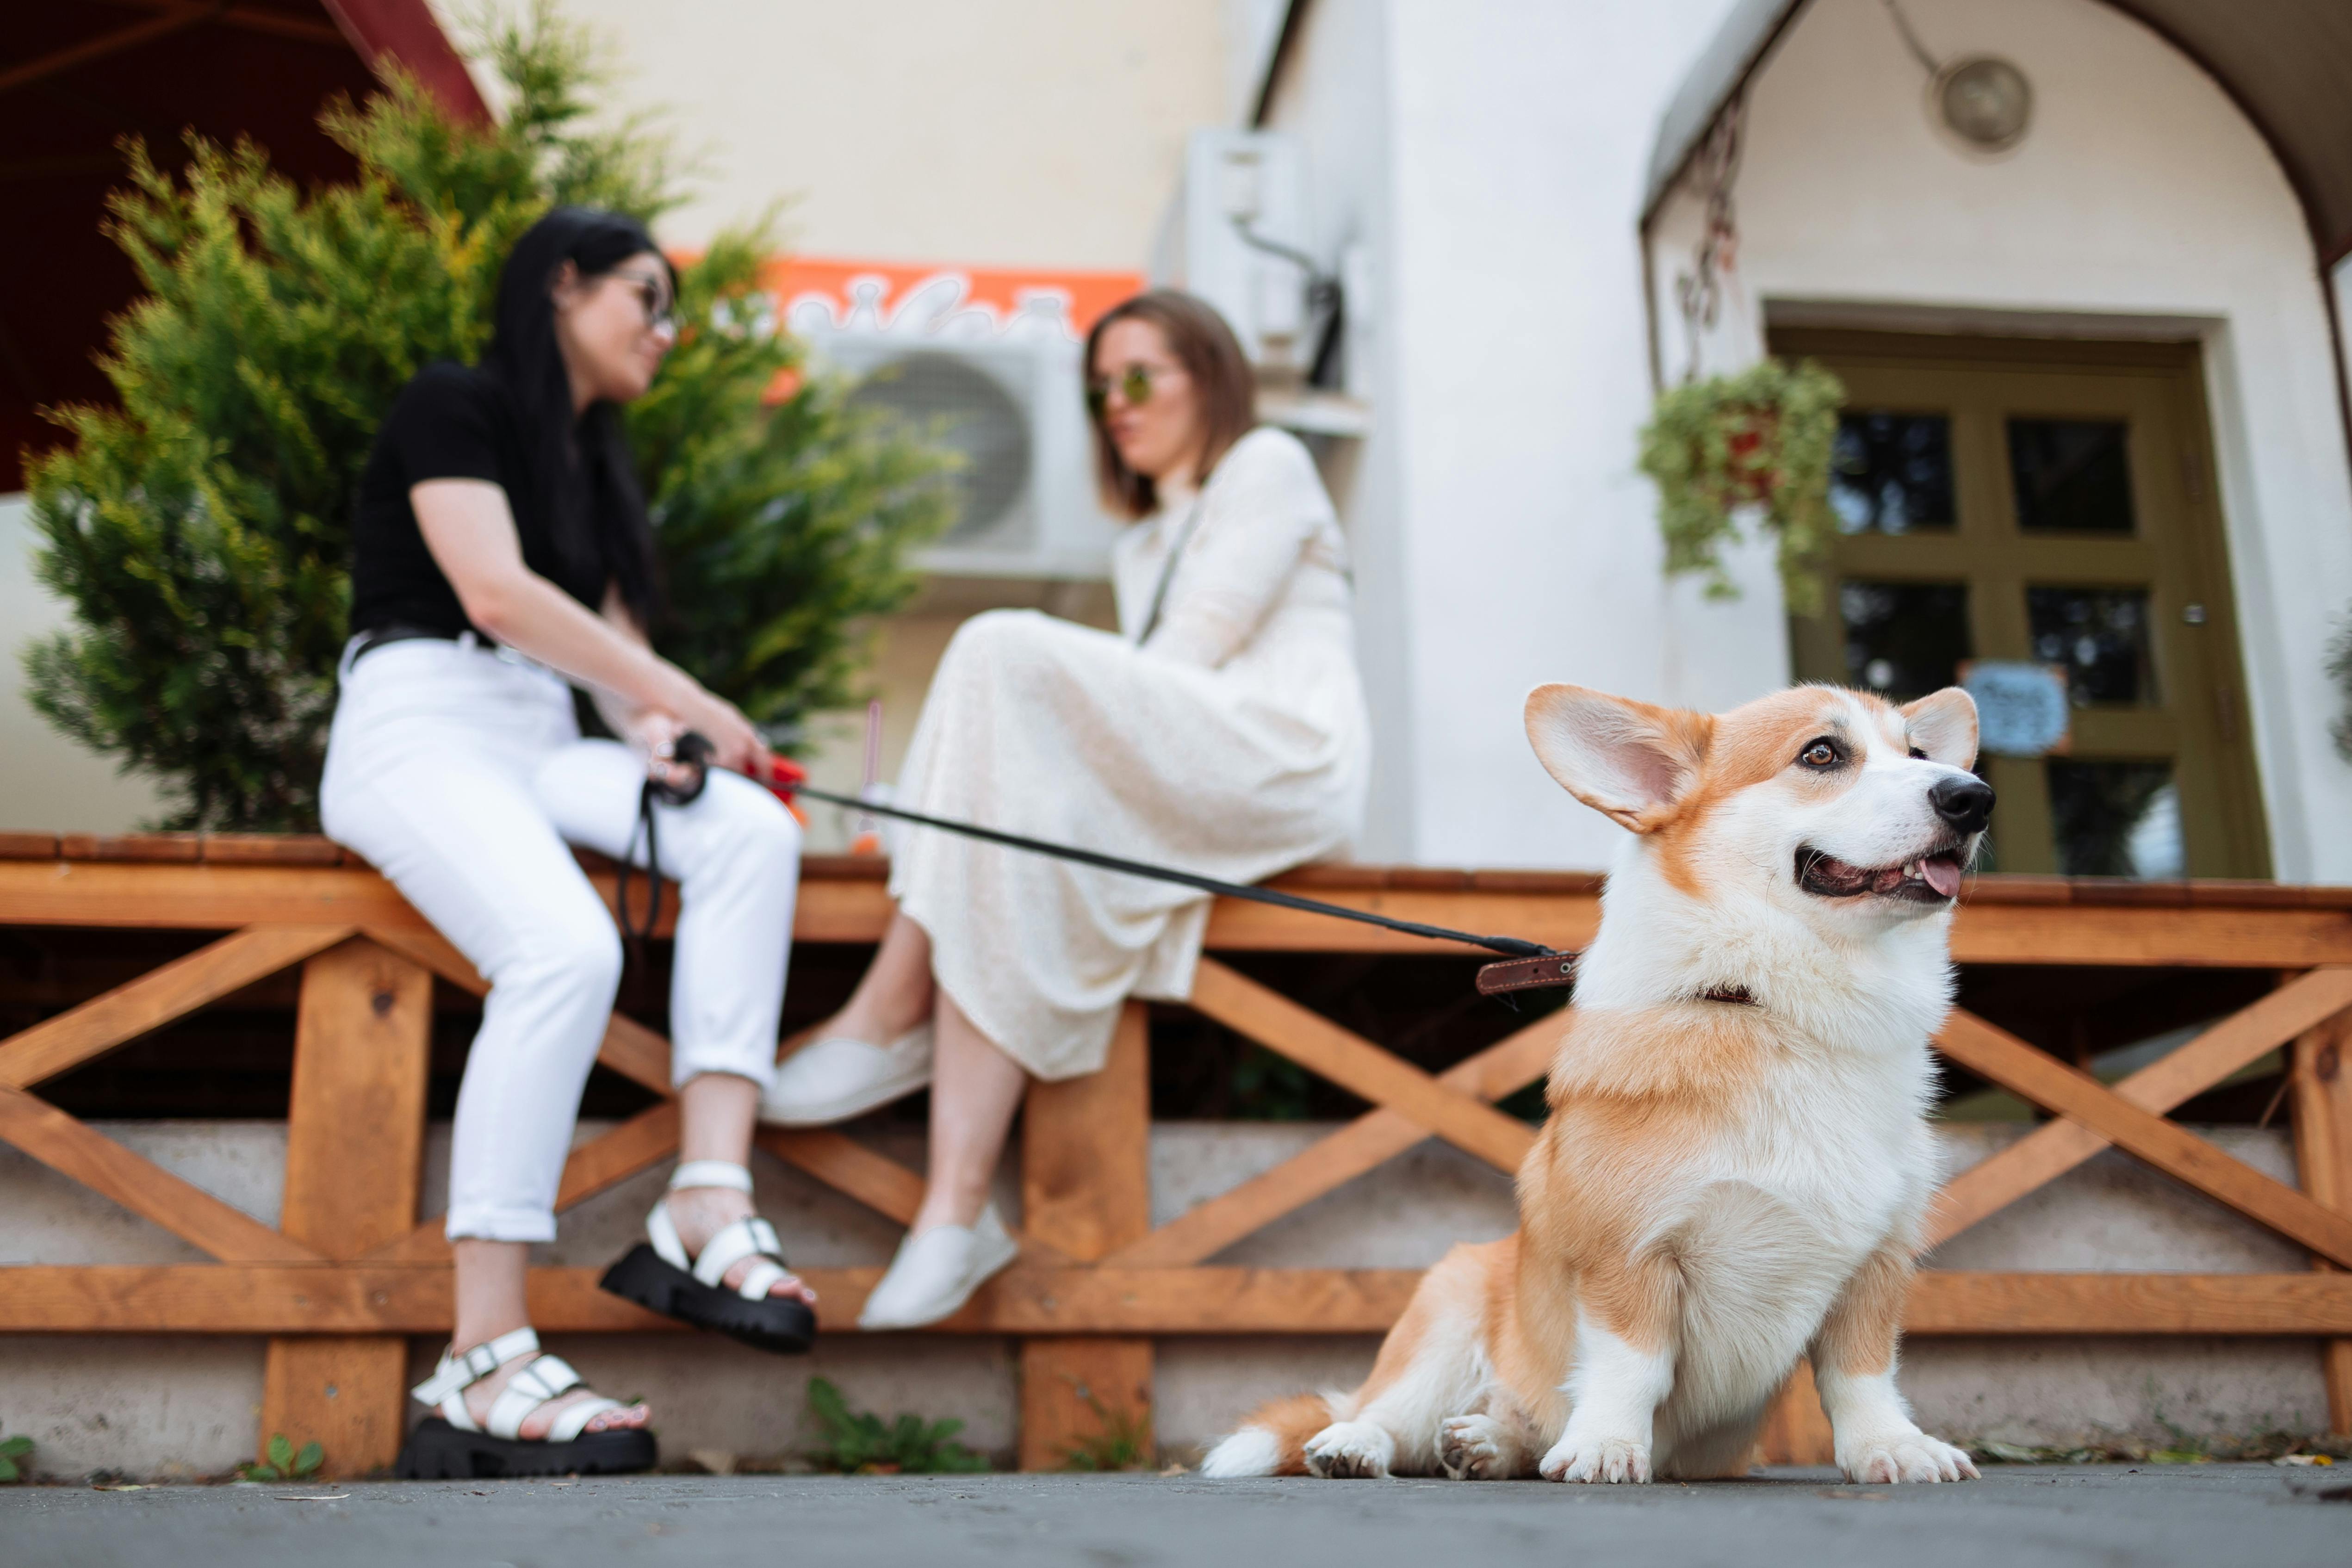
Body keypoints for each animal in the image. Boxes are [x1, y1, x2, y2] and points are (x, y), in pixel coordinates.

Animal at [1204, 682, 1994, 1486]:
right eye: (1822, 754)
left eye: (1916, 752)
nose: (1973, 797)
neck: (1768, 1007)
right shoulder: (1629, 1254)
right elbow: (1629, 1366)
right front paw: (1607, 1445)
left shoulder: (1876, 1263)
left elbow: (1861, 1376)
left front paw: (1891, 1447)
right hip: (1445, 1312)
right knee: (1389, 1414)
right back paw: (1358, 1446)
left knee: (1510, 1423)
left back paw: (1487, 1443)